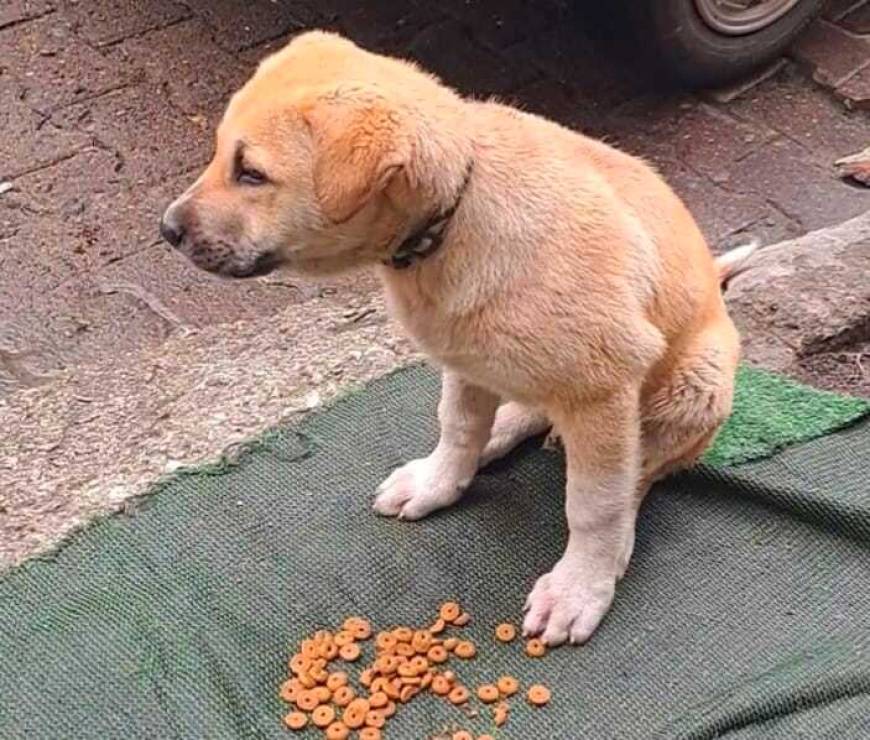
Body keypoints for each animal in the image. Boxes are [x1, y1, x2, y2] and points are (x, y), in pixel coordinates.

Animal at [164, 31, 748, 644]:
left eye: (251, 173)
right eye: (219, 153)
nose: (167, 230)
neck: (455, 216)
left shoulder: (603, 389)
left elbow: (594, 504)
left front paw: (579, 586)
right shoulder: (462, 358)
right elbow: (459, 426)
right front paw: (438, 482)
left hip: (697, 380)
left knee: (643, 468)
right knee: (525, 411)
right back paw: (506, 432)